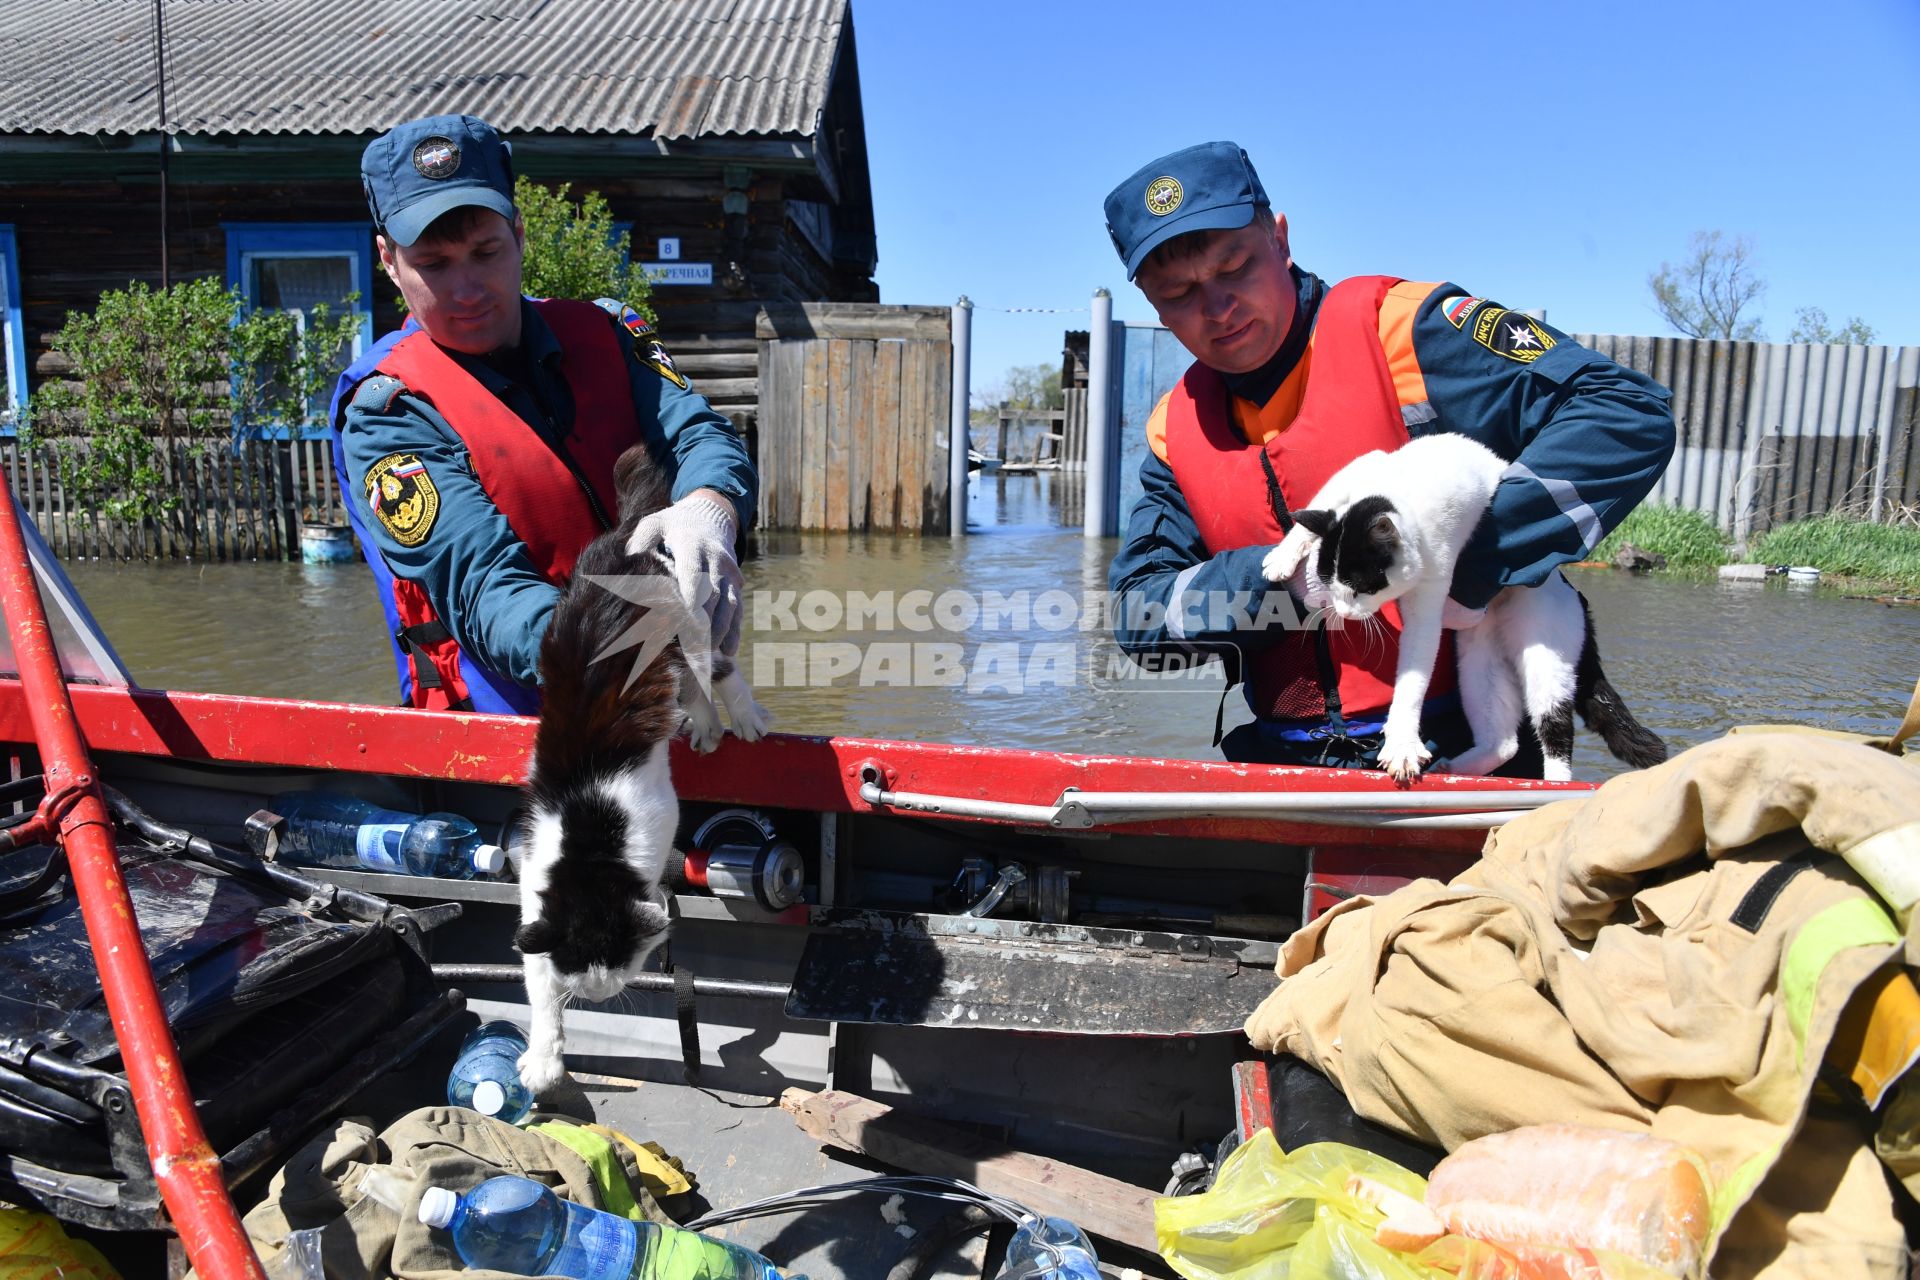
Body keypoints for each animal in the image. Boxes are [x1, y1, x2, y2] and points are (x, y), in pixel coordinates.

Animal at [522, 445, 775, 1097]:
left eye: (620, 960)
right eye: (579, 967)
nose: (597, 994)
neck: (590, 841)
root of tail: (629, 538)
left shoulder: (661, 814)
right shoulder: (534, 882)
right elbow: (536, 982)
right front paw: (544, 1058)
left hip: (690, 614)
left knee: (716, 667)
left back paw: (738, 717)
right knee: (692, 679)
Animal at [1259, 435, 1666, 786]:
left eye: (1359, 588)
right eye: (1328, 581)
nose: (1343, 613)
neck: (1406, 490)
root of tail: (1572, 590)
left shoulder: (1432, 584)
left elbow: (1414, 674)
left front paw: (1402, 742)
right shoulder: (1360, 469)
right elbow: (1318, 508)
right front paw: (1282, 556)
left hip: (1546, 656)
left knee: (1556, 727)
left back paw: (1554, 785)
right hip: (1479, 668)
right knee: (1504, 741)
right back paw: (1456, 766)